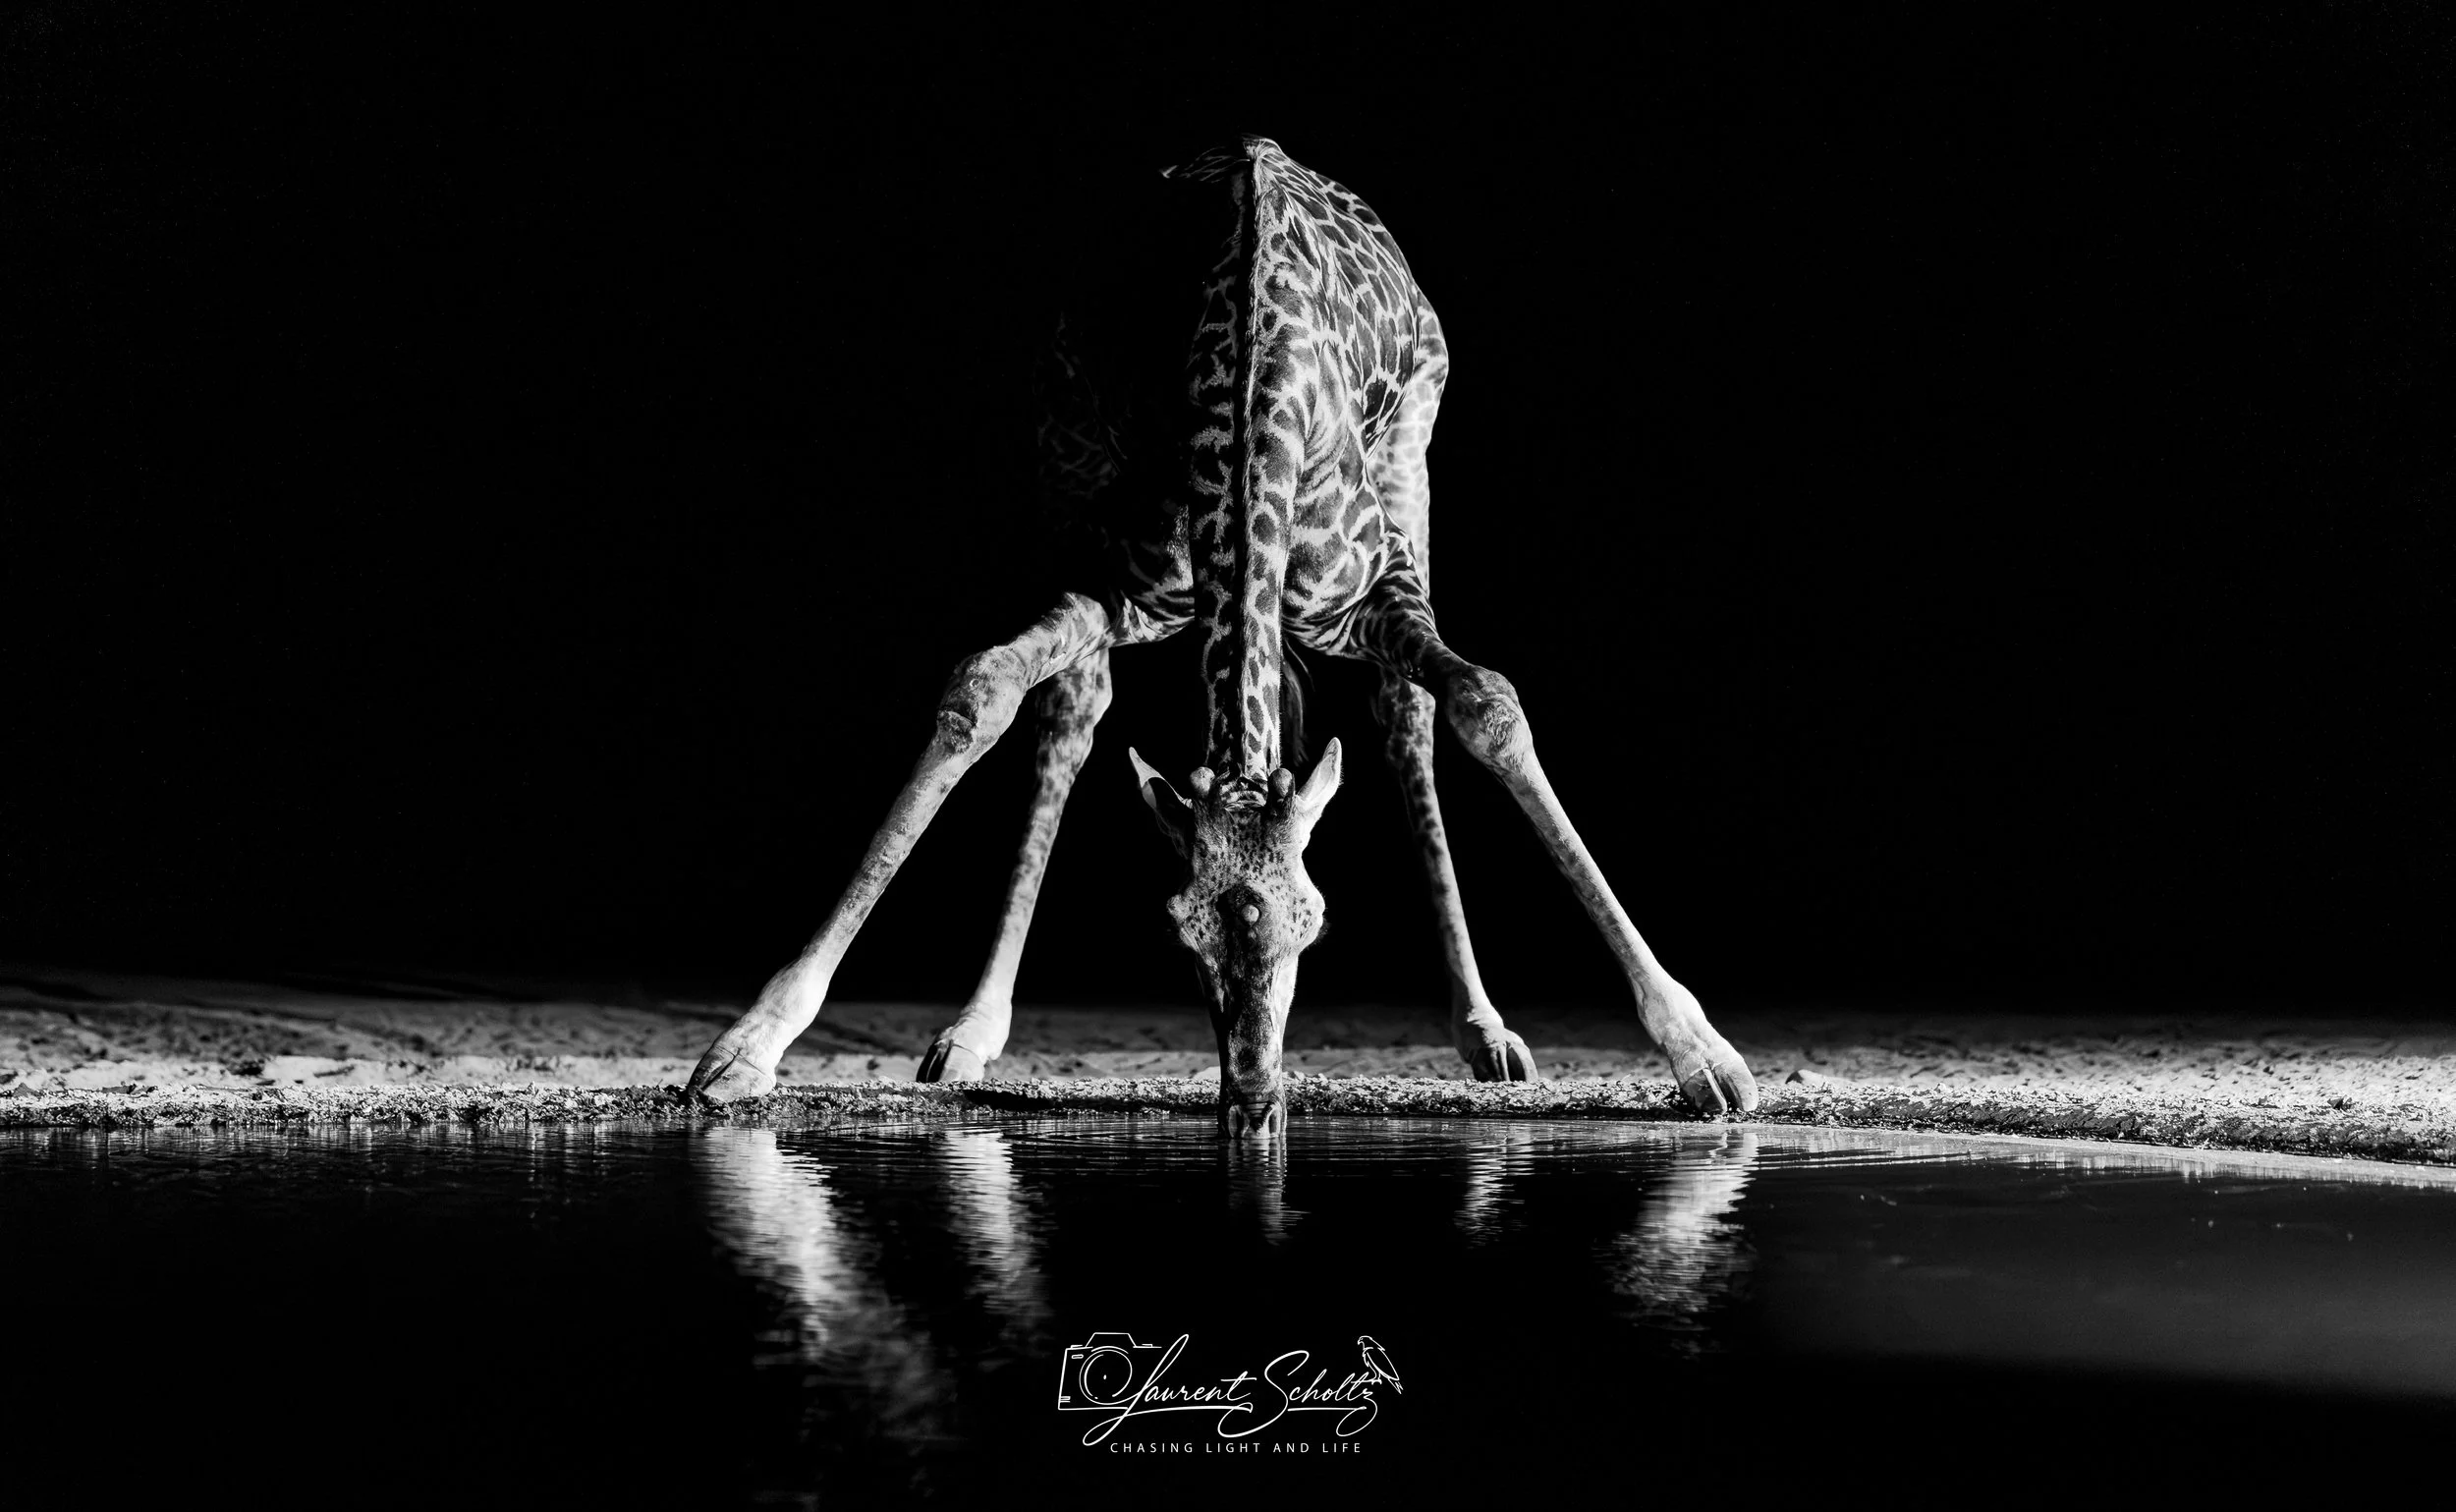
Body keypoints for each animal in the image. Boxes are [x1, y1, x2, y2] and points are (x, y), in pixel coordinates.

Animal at [686, 137, 1760, 1132]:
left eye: (1315, 924)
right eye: (1176, 930)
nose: (1252, 1102)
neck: (1249, 398)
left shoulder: (1373, 588)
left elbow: (1485, 702)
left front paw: (1704, 1055)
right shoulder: (1115, 584)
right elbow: (982, 686)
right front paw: (748, 1043)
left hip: (1412, 458)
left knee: (1404, 714)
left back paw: (1484, 1030)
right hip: (1064, 454)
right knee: (1071, 715)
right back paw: (974, 1029)